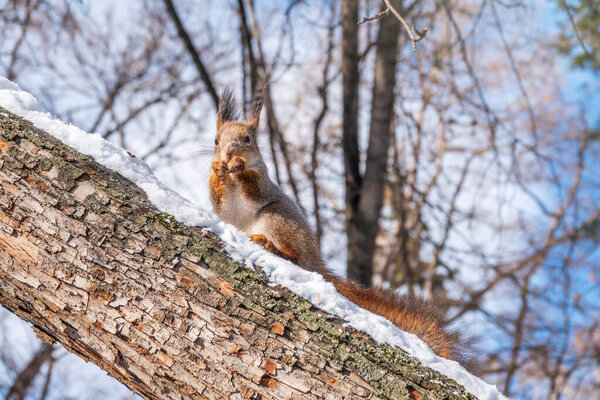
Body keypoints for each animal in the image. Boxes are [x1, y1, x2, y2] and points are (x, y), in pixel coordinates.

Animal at [209, 86, 472, 368]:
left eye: (248, 139)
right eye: (216, 140)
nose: (228, 154)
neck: (233, 181)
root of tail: (315, 262)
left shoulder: (264, 184)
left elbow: (254, 187)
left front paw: (238, 166)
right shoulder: (223, 204)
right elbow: (219, 203)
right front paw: (217, 169)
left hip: (276, 217)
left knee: (294, 256)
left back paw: (271, 245)